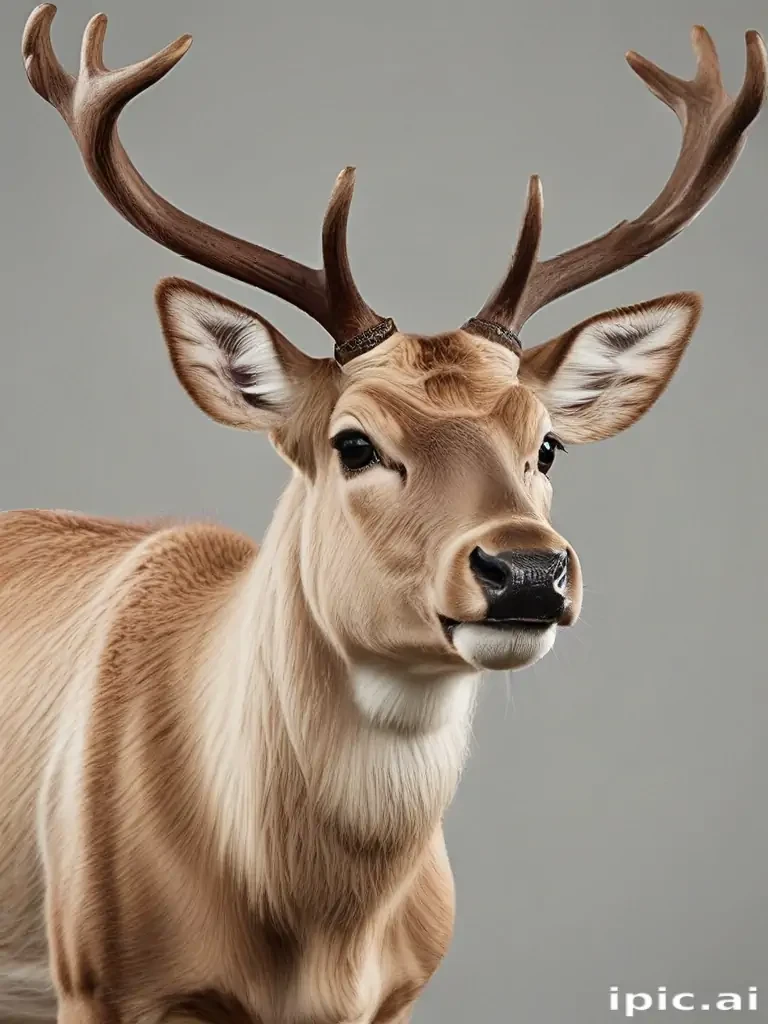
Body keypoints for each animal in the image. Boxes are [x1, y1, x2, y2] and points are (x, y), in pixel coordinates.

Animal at [1, 5, 765, 1023]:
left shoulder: (401, 991)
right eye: (355, 442)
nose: (527, 570)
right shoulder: (96, 977)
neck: (317, 939)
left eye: (547, 444)